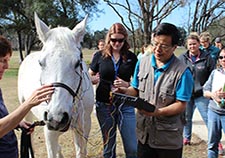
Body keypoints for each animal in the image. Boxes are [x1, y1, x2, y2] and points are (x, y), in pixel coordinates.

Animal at [17, 12, 94, 158]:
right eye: (41, 63)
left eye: (77, 63)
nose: (56, 118)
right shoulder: (50, 133)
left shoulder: (84, 128)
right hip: (27, 113)